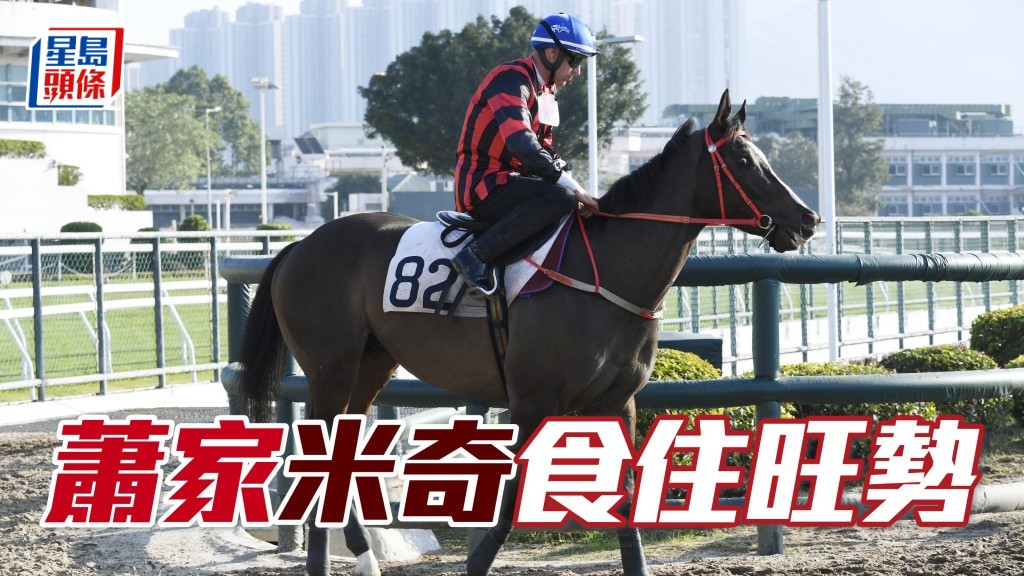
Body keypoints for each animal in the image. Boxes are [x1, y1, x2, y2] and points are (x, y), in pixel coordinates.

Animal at [238, 89, 819, 576]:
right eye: (744, 161)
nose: (807, 219)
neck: (603, 272)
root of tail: (299, 245)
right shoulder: (533, 401)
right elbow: (512, 497)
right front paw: (476, 564)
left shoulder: (619, 401)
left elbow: (627, 497)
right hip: (330, 369)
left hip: (370, 366)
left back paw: (359, 556)